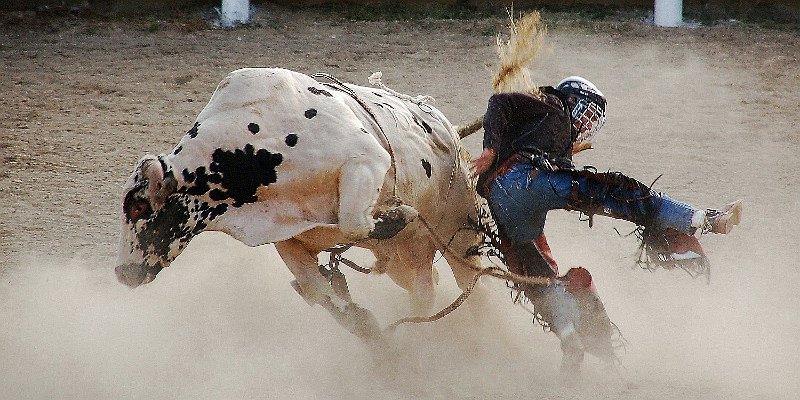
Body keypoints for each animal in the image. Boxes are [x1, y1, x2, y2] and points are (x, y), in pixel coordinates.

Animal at [115, 68, 490, 340]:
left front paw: (397, 214)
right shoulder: (286, 238)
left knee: (470, 285)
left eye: (138, 207)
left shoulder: (366, 159)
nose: (121, 273)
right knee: (424, 291)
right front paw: (360, 320)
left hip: (459, 233)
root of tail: (445, 123)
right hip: (406, 260)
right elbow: (318, 290)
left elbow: (352, 221)